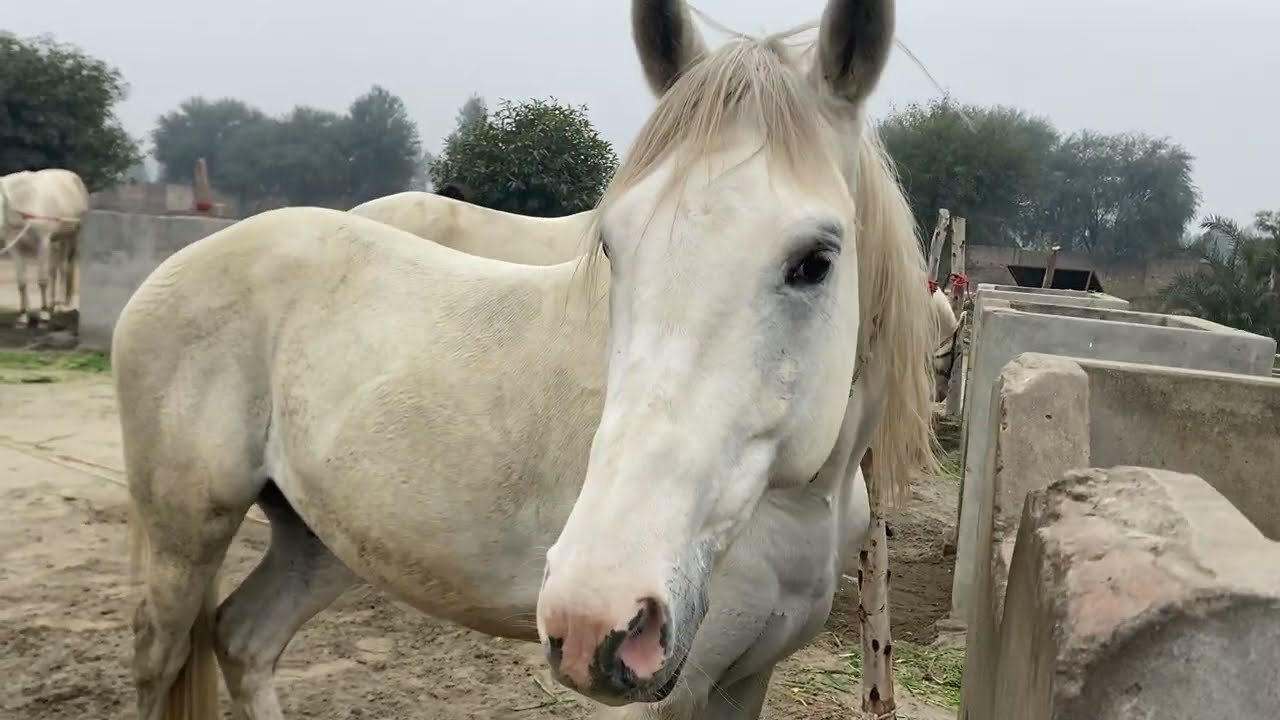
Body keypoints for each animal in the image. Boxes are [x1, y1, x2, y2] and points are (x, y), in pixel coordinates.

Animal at [0, 168, 89, 328]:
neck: (26, 201)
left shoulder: (42, 242)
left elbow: (42, 280)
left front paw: (43, 315)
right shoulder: (15, 247)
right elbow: (21, 282)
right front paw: (23, 316)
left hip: (72, 237)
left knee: (65, 268)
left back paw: (60, 306)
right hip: (55, 242)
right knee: (54, 270)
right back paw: (52, 304)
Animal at [115, 2, 937, 719]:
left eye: (815, 261)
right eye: (613, 247)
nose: (596, 613)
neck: (796, 503)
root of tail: (180, 263)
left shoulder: (744, 681)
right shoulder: (663, 693)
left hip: (319, 541)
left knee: (244, 640)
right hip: (183, 538)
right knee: (159, 660)